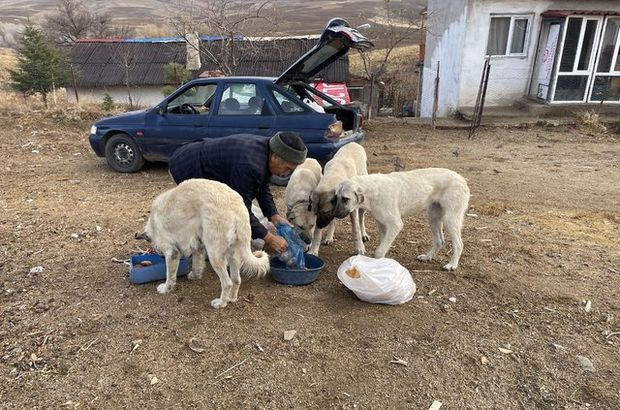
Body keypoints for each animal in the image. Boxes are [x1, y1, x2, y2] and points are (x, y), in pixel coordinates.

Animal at [138, 179, 268, 308]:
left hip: (215, 254)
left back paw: (221, 303)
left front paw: (165, 288)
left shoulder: (172, 253)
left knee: (227, 283)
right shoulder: (198, 247)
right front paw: (195, 276)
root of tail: (238, 209)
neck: (153, 225)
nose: (160, 255)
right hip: (233, 254)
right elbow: (197, 264)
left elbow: (169, 276)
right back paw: (231, 298)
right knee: (236, 280)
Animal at [334, 168, 470, 270]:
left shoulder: (395, 225)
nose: (334, 214)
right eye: (336, 197)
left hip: (450, 220)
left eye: (345, 199)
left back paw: (452, 265)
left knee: (459, 244)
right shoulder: (382, 224)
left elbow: (379, 251)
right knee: (439, 241)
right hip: (433, 217)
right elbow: (383, 245)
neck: (372, 192)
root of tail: (461, 178)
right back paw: (427, 257)